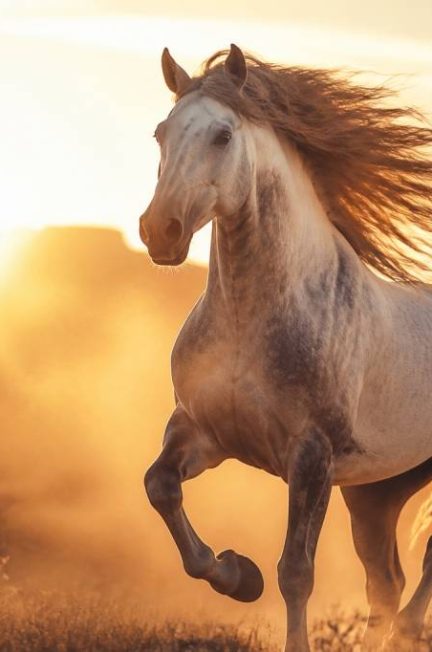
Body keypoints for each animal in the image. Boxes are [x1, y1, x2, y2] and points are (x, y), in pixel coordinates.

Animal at [140, 44, 432, 651]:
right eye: (161, 132)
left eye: (223, 135)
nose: (160, 231)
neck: (251, 320)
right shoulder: (202, 432)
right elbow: (161, 489)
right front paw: (236, 574)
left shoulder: (311, 455)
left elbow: (296, 570)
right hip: (377, 492)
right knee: (385, 581)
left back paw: (411, 629)